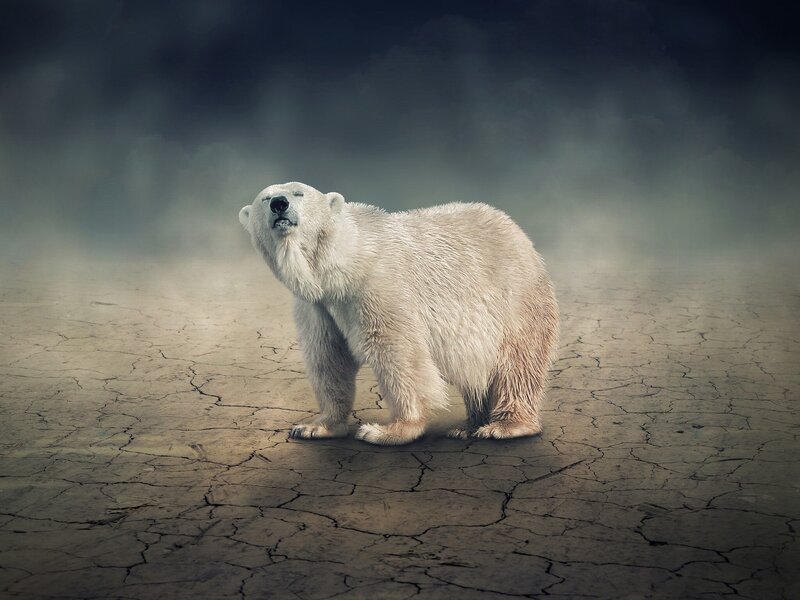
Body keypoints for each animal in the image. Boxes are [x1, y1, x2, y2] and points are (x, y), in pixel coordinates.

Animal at [239, 182, 559, 445]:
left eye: (298, 193)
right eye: (265, 197)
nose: (279, 203)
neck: (342, 264)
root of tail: (519, 234)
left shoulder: (379, 286)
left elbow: (398, 351)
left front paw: (387, 431)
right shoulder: (317, 306)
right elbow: (328, 357)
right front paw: (315, 426)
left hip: (514, 300)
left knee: (516, 364)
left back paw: (505, 426)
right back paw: (467, 426)